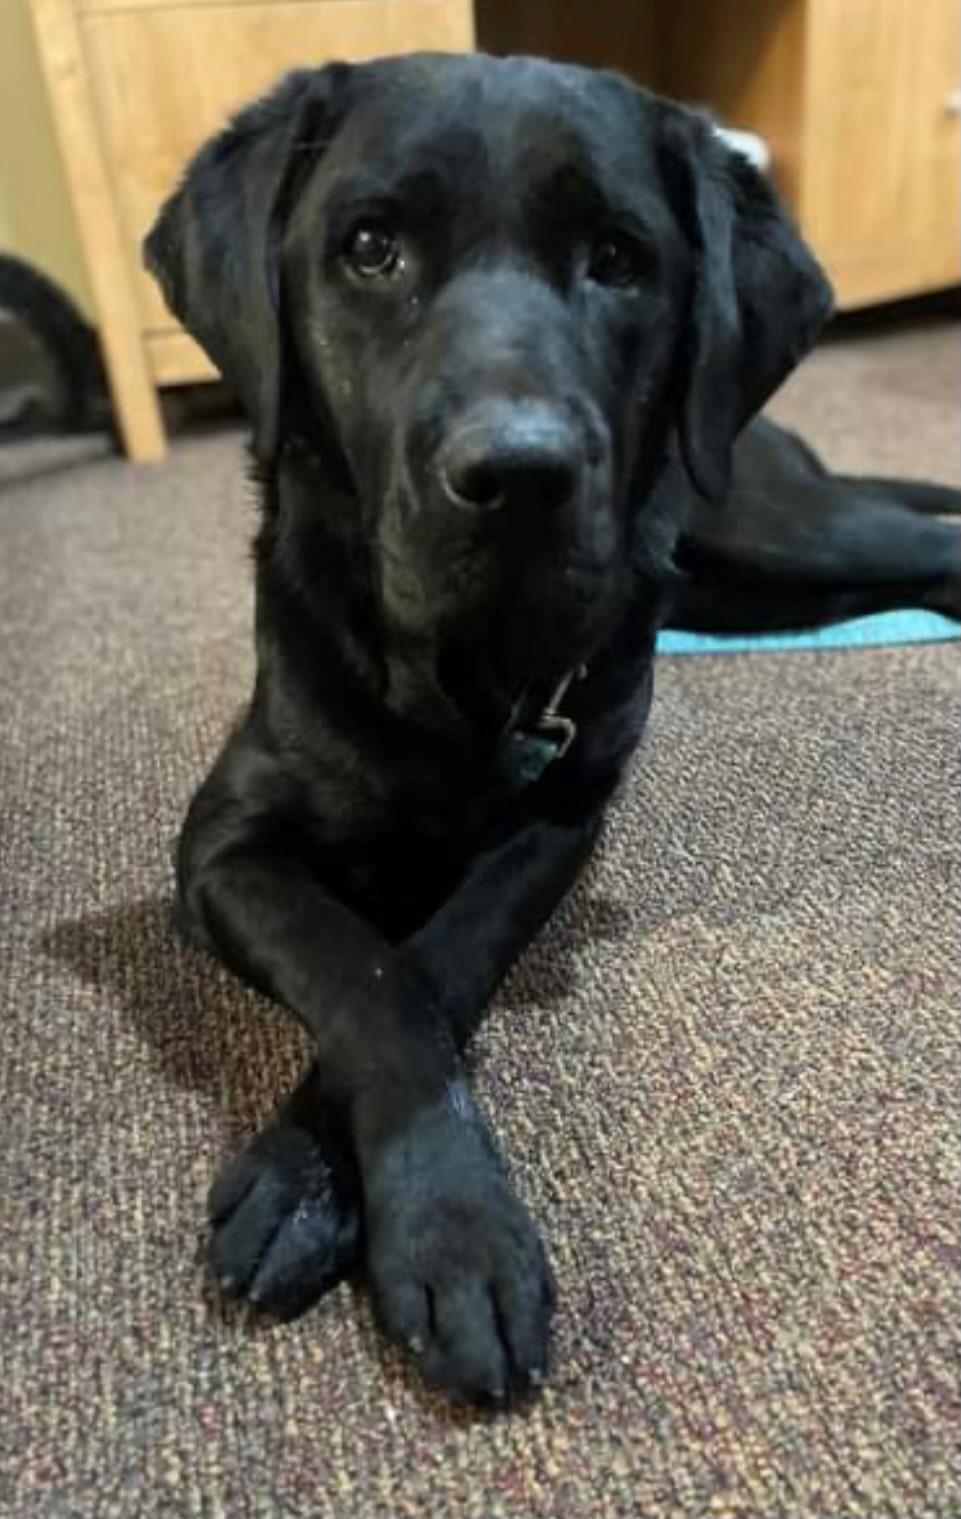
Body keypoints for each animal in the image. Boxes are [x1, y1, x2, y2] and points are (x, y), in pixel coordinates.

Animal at [145, 51, 960, 1405]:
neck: (459, 676)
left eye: (619, 258)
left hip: (769, 526)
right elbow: (367, 970)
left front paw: (416, 1216)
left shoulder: (564, 815)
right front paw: (377, 1202)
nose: (518, 476)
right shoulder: (222, 842)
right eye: (369, 247)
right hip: (751, 579)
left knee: (928, 541)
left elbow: (438, 956)